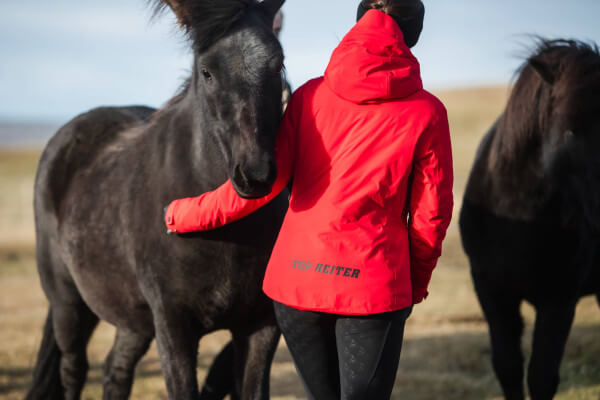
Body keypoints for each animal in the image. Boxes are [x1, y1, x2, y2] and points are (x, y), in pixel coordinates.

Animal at [27, 1, 290, 398]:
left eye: (277, 63)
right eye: (207, 71)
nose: (256, 174)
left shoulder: (260, 324)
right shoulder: (173, 324)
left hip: (132, 317)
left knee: (116, 370)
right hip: (67, 304)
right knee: (72, 370)